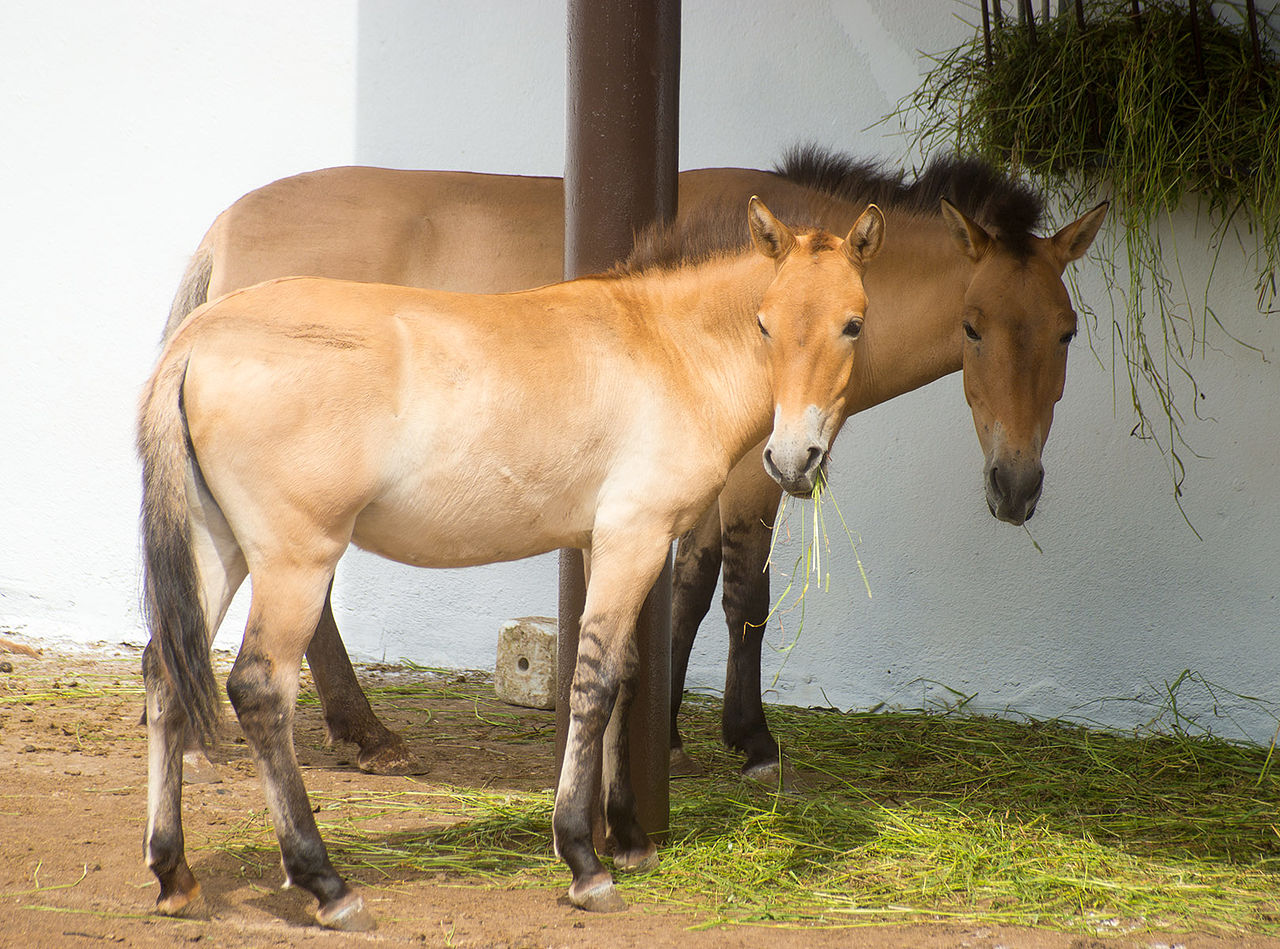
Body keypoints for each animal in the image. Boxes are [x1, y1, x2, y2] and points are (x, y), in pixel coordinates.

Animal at [137, 198, 880, 927]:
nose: (793, 459)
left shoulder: (603, 543)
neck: (666, 347)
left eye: (853, 324)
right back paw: (326, 883)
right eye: (764, 323)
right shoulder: (635, 537)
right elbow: (595, 683)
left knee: (165, 670)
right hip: (296, 560)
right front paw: (584, 859)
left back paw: (174, 873)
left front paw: (630, 838)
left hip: (218, 550)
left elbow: (627, 678)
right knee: (259, 689)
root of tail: (199, 338)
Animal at [167, 147, 1111, 778]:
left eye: (1067, 332)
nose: (1015, 485)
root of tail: (221, 232)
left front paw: (677, 727)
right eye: (974, 327)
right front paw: (738, 738)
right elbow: (734, 593)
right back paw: (363, 731)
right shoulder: (746, 475)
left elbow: (689, 591)